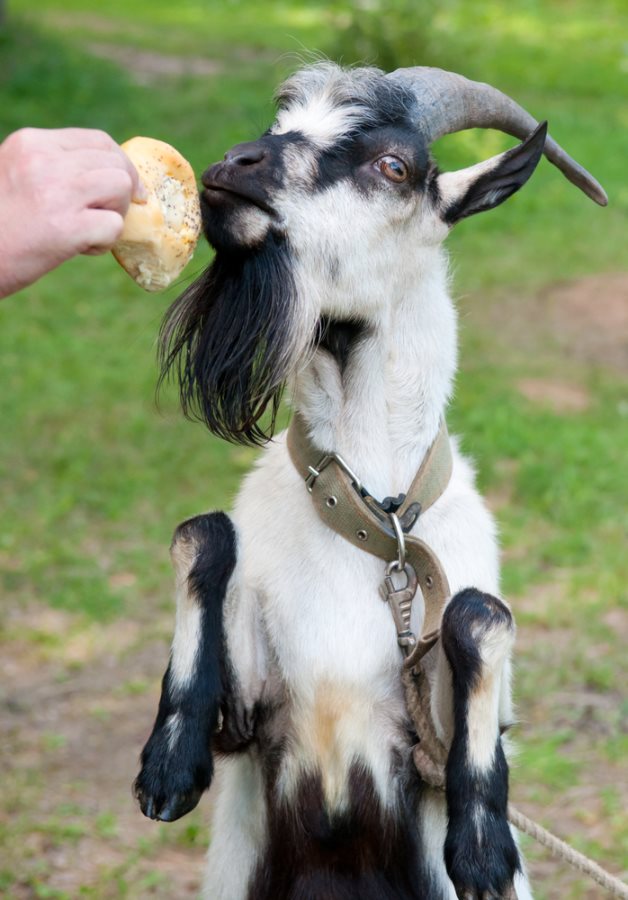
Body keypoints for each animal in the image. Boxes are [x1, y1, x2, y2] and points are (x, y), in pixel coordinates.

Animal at [134, 65, 608, 900]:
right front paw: (168, 763)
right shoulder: (248, 717)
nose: (234, 164)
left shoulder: (443, 722)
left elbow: (481, 614)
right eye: (280, 123)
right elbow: (205, 530)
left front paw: (484, 844)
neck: (367, 514)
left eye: (394, 166)